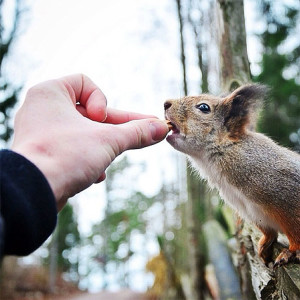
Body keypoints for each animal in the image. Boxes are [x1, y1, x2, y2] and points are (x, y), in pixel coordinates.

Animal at [164, 84, 300, 264]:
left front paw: (293, 251)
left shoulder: (285, 190)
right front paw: (265, 244)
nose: (166, 104)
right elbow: (267, 231)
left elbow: (295, 227)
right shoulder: (247, 209)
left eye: (204, 107)